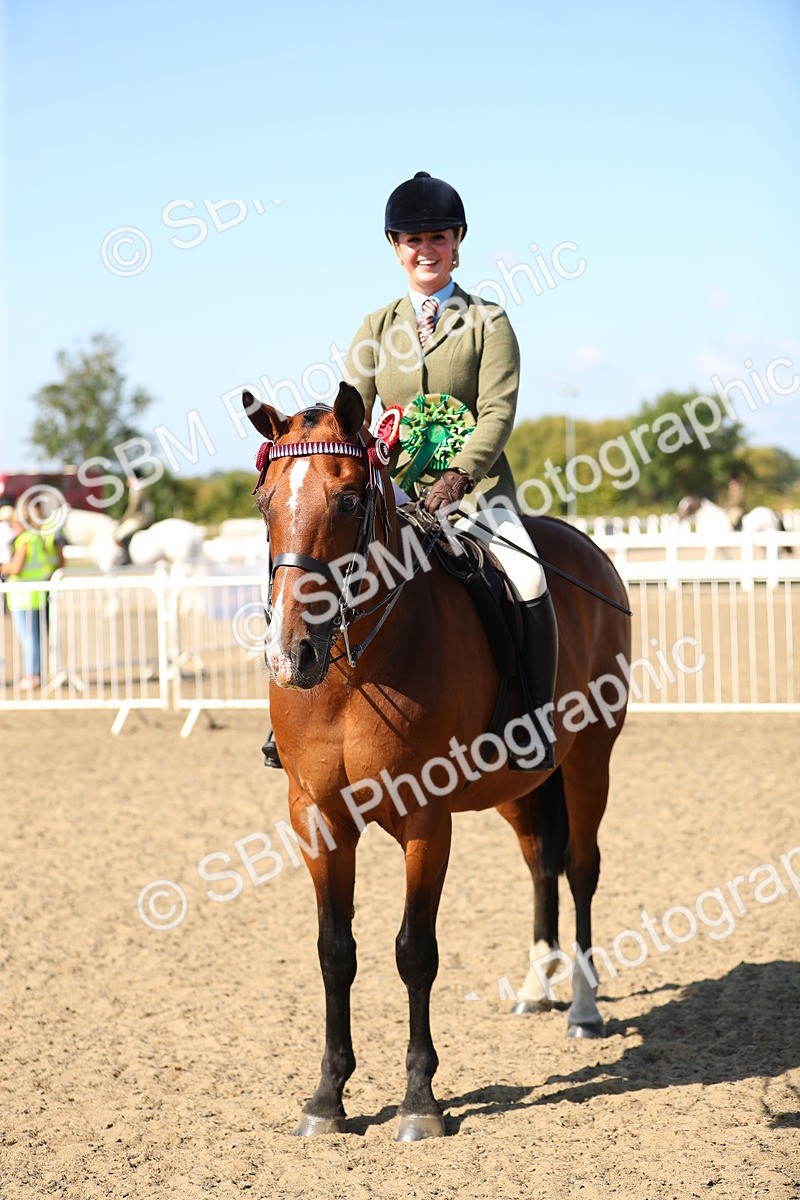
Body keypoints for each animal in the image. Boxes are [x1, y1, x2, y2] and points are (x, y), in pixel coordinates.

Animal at [244, 382, 631, 1141]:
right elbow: (335, 952)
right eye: (265, 502)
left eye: (347, 501)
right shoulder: (316, 816)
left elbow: (413, 951)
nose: (288, 655)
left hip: (589, 760)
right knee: (541, 864)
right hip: (520, 786)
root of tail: (584, 546)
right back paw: (537, 989)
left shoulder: (426, 819)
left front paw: (420, 1101)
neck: (351, 672)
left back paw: (582, 1006)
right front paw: (327, 1098)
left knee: (579, 869)